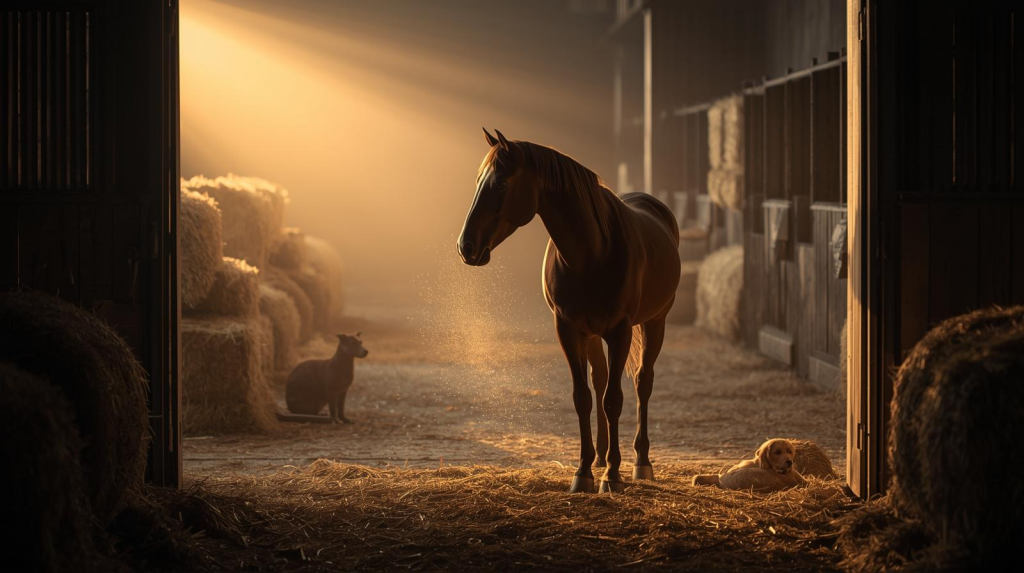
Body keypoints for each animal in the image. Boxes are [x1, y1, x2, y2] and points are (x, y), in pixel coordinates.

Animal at [458, 129, 680, 493]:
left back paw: (641, 463)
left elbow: (613, 399)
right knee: (600, 378)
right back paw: (602, 455)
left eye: (501, 183)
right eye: (479, 181)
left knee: (642, 383)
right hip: (591, 334)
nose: (466, 247)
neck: (592, 252)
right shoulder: (568, 329)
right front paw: (584, 471)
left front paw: (612, 476)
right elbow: (584, 398)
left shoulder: (620, 330)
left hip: (655, 322)